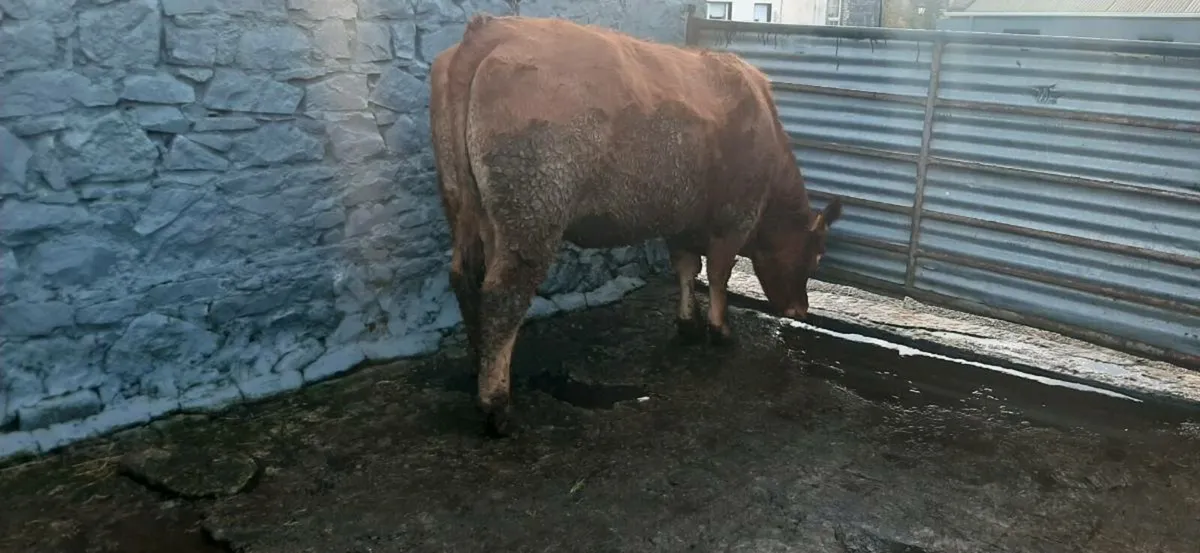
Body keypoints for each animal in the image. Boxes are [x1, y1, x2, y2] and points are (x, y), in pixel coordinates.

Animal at [429, 15, 843, 435]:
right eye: (816, 256)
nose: (801, 311)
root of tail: (491, 29)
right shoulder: (734, 218)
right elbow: (719, 273)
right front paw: (720, 331)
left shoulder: (682, 219)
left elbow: (686, 268)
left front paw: (688, 324)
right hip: (532, 209)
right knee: (503, 294)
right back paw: (496, 405)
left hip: (464, 206)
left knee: (465, 278)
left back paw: (476, 362)